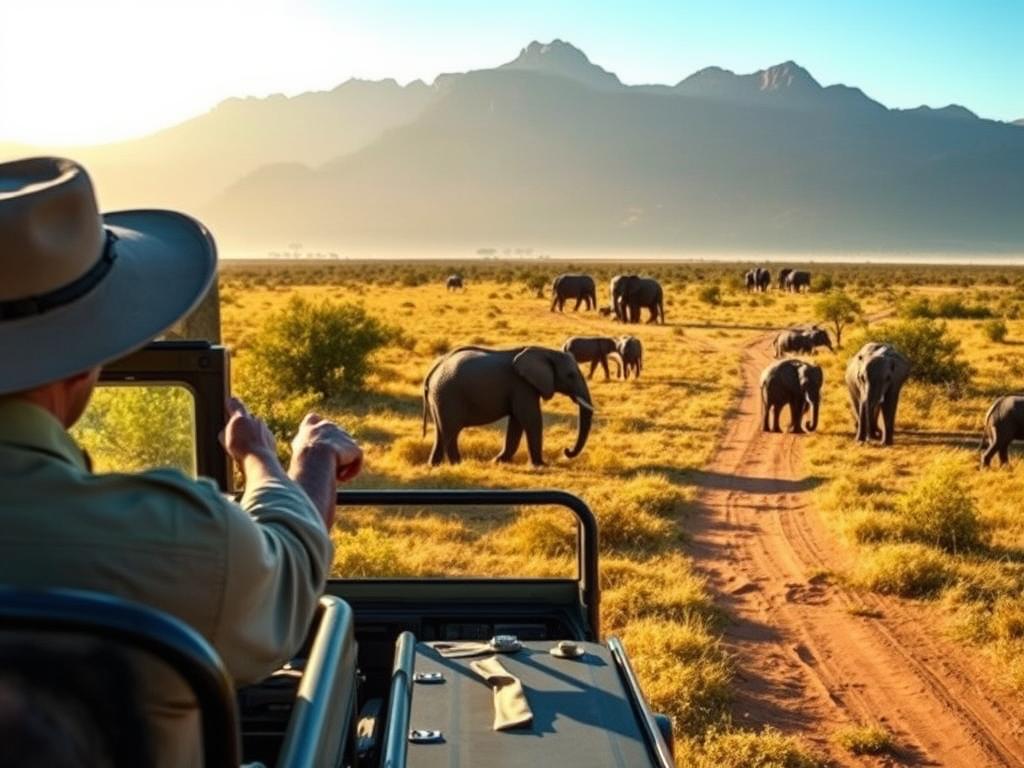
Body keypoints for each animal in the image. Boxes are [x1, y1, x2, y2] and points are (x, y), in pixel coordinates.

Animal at [422, 346, 594, 467]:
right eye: (570, 375)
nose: (566, 451)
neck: (546, 351)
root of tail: (433, 370)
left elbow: (517, 423)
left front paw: (497, 461)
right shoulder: (522, 386)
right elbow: (531, 419)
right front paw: (542, 465)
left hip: (439, 398)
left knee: (443, 432)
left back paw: (439, 466)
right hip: (448, 395)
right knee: (450, 432)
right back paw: (452, 465)